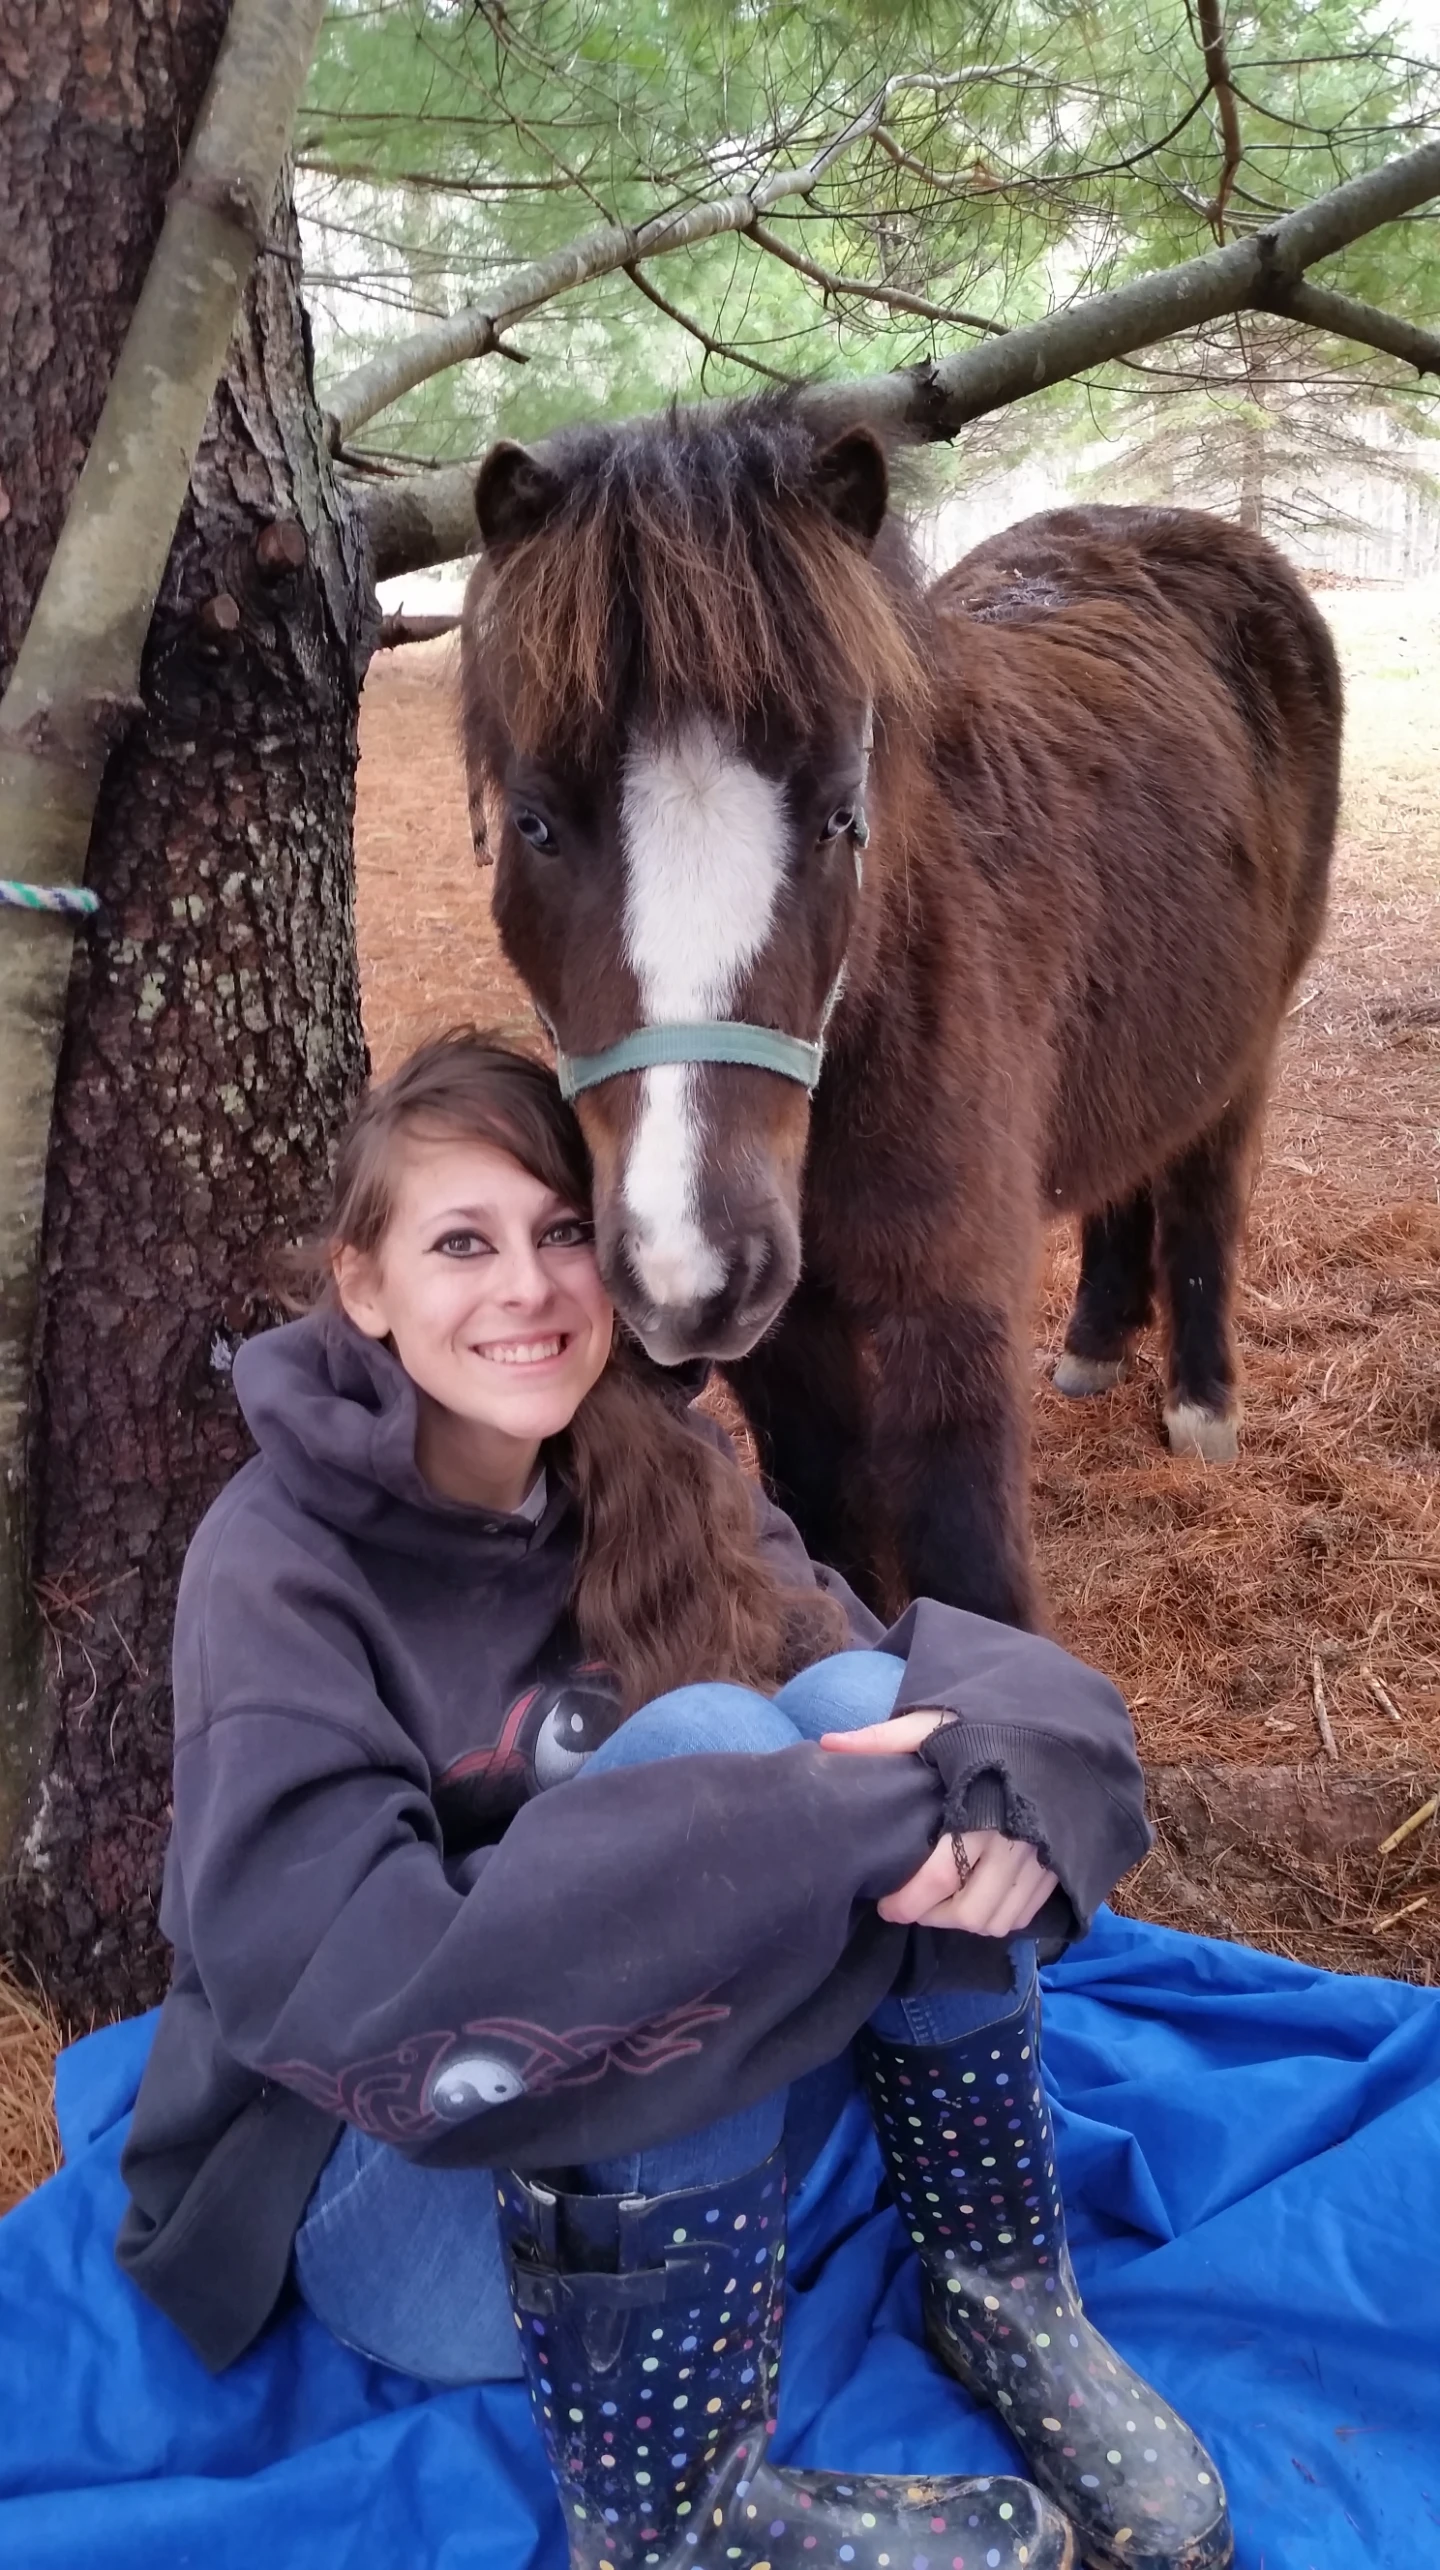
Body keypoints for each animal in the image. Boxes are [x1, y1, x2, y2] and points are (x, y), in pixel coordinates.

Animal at [459, 395, 1341, 1628]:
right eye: (535, 823)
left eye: (841, 813)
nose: (692, 1267)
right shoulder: (785, 1350)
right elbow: (835, 1532)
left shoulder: (948, 1322)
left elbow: (968, 1575)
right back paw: (1094, 1343)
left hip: (1247, 1042)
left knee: (1205, 1191)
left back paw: (1202, 1402)